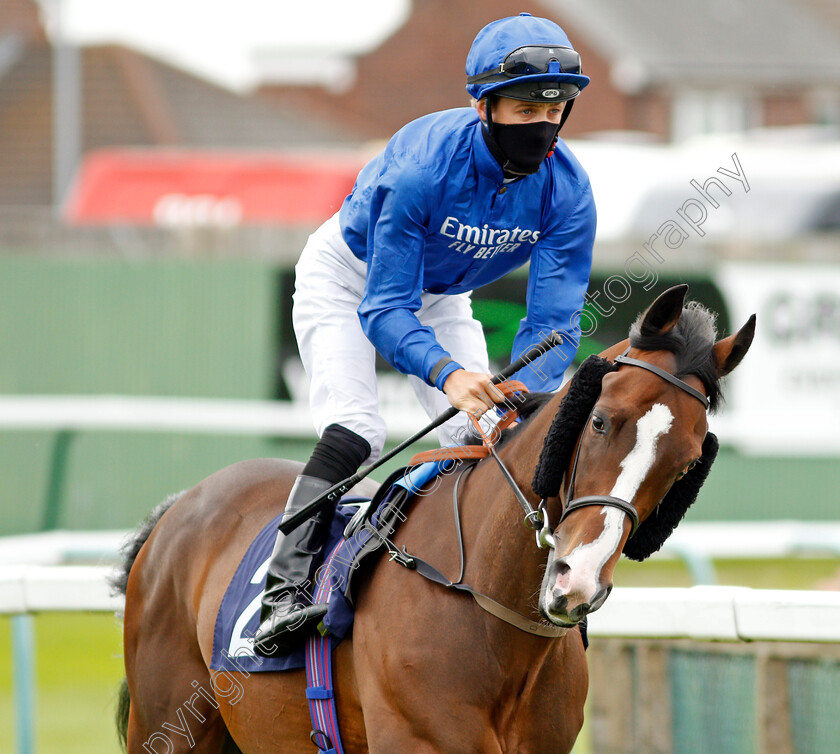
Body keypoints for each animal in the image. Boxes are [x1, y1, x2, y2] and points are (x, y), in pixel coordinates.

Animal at [116, 284, 756, 752]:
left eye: (686, 464)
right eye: (600, 420)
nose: (576, 582)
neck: (492, 612)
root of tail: (182, 504)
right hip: (168, 725)